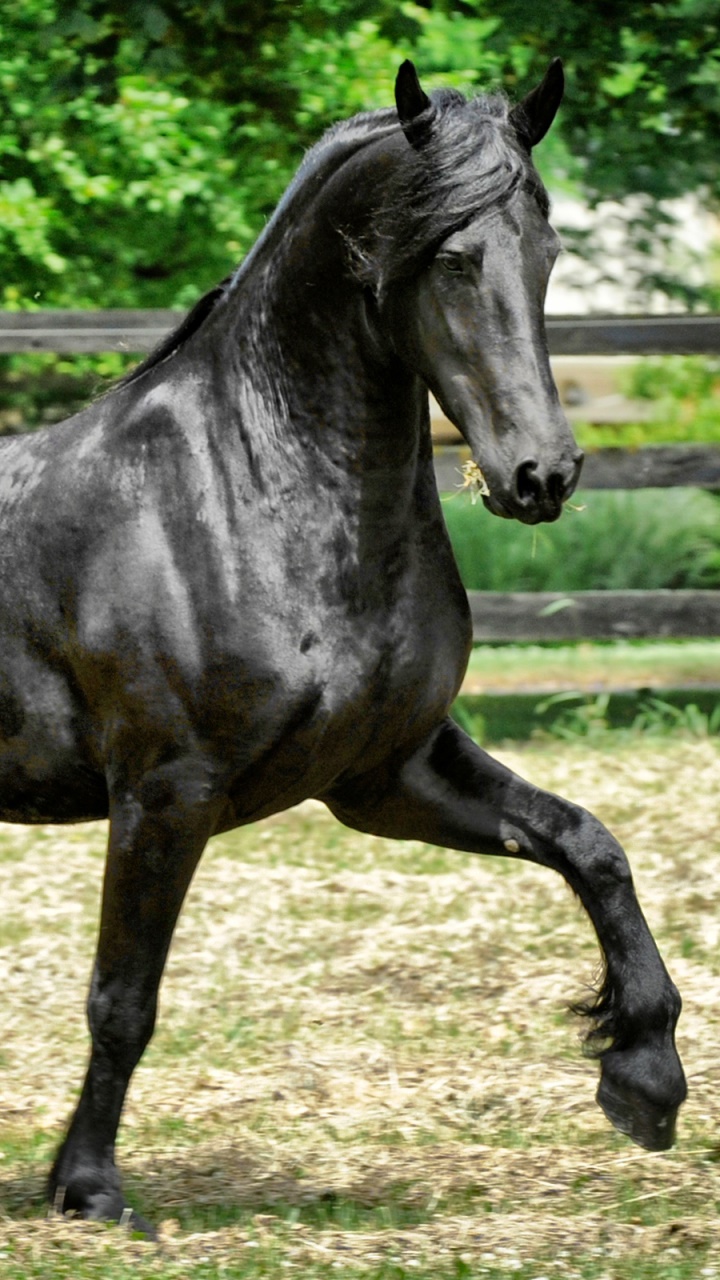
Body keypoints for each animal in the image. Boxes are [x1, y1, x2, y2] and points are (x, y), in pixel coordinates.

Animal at [0, 59, 686, 1235]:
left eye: (547, 252)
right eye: (451, 256)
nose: (541, 475)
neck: (242, 495)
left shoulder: (382, 774)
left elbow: (588, 844)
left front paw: (646, 1077)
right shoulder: (166, 790)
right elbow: (124, 998)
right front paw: (87, 1187)